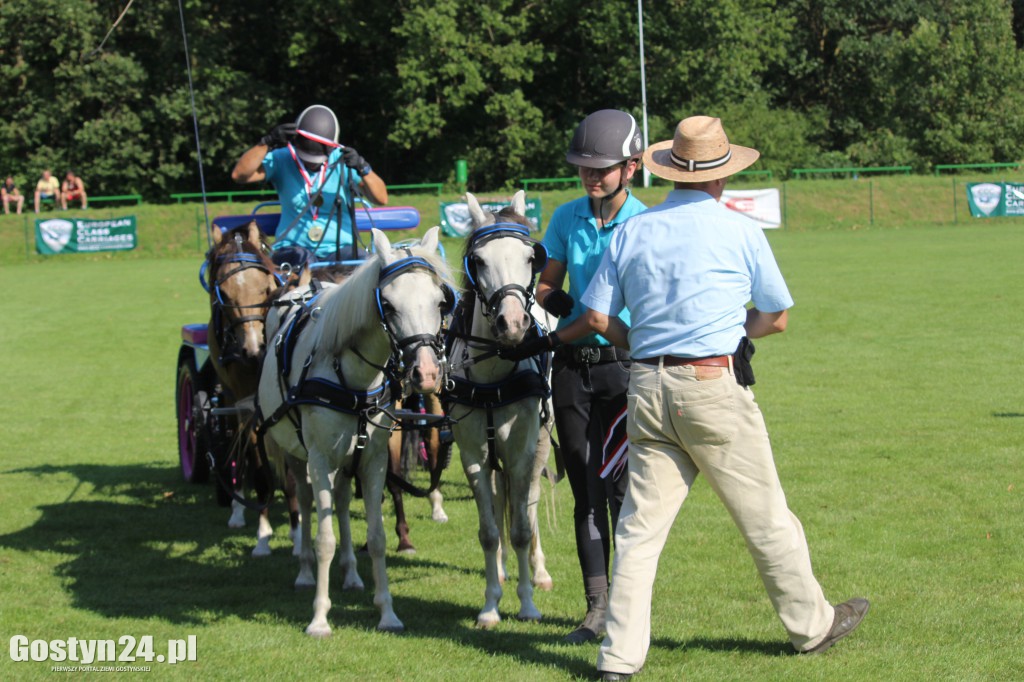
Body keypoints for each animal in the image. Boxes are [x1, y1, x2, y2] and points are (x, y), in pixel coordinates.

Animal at [201, 220, 299, 557]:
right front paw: (263, 536)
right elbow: (259, 471)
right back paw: (237, 509)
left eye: (265, 288)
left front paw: (297, 532)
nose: (254, 349)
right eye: (224, 294)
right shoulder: (248, 409)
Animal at [256, 225, 452, 634]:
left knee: (344, 503)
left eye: (440, 303)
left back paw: (350, 574)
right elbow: (324, 538)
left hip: (347, 460)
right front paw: (319, 618)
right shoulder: (319, 459)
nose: (426, 374)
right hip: (296, 455)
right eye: (388, 305)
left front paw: (387, 613)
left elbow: (375, 537)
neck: (353, 378)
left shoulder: (373, 459)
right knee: (304, 503)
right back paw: (305, 572)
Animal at [442, 191, 552, 626]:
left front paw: (527, 604)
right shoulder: (474, 456)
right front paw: (491, 605)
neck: (493, 374)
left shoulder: (522, 451)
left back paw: (538, 571)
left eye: (529, 258)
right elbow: (489, 533)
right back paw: (504, 569)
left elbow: (522, 526)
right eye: (479, 260)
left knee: (530, 506)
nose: (513, 323)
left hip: (539, 447)